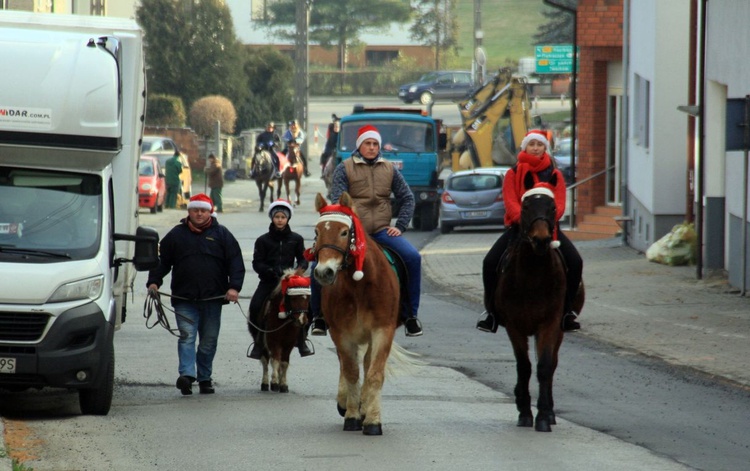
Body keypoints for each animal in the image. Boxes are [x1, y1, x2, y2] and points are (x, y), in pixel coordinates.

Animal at [314, 194, 414, 436]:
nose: (323, 272)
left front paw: (372, 419)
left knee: (368, 364)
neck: (359, 284)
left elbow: (374, 373)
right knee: (346, 364)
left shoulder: (382, 331)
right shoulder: (341, 333)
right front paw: (352, 414)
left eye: (344, 232)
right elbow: (350, 371)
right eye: (317, 232)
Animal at [494, 184, 588, 432]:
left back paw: (551, 412)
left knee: (552, 364)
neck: (532, 275)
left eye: (553, 207)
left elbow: (544, 366)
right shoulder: (514, 326)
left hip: (560, 329)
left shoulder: (550, 323)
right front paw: (525, 411)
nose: (542, 240)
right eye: (525, 207)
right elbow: (524, 366)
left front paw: (544, 416)